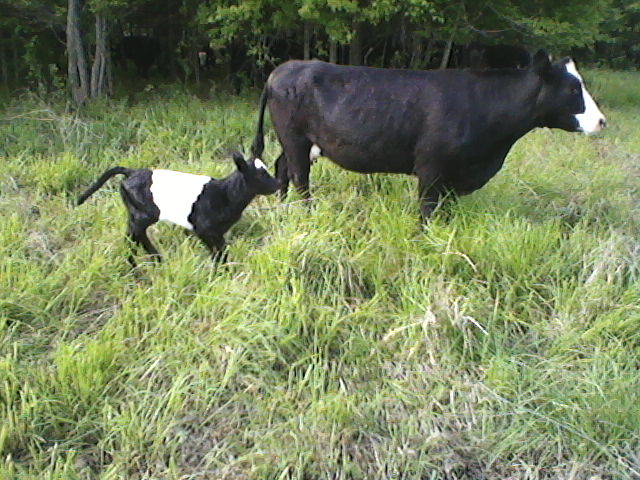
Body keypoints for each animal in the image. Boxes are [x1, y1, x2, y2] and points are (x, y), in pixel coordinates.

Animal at [76, 153, 278, 262]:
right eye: (261, 175)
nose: (277, 184)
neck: (225, 193)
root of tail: (131, 172)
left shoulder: (218, 232)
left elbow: (222, 251)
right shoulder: (204, 230)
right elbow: (217, 253)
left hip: (135, 213)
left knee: (132, 235)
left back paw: (150, 262)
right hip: (144, 214)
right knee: (135, 234)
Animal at [250, 49, 604, 222]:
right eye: (573, 89)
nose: (601, 121)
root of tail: (282, 69)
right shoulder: (431, 168)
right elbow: (428, 210)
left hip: (298, 142)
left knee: (282, 168)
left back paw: (282, 208)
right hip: (295, 139)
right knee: (299, 178)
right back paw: (303, 214)